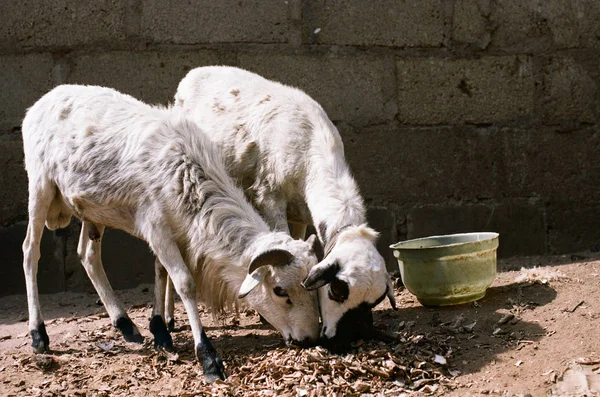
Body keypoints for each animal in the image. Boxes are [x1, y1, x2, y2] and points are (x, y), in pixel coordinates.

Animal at [22, 85, 324, 382]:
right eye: (279, 290)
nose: (309, 339)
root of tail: (44, 99)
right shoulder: (156, 227)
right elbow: (184, 282)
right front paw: (208, 358)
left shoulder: (169, 231)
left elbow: (159, 271)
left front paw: (160, 331)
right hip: (40, 186)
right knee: (30, 252)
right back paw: (39, 335)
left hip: (91, 208)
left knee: (88, 255)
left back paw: (125, 325)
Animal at [172, 65, 398, 350]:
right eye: (337, 290)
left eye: (374, 301)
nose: (340, 342)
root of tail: (194, 72)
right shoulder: (270, 197)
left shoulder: (301, 214)